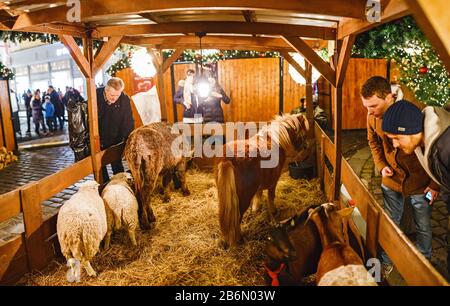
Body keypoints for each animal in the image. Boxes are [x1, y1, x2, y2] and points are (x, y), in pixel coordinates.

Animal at [216, 113, 312, 247]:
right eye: (303, 132)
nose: (306, 146)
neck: (275, 140)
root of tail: (227, 159)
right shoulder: (273, 182)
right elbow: (271, 197)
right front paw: (273, 212)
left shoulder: (259, 185)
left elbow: (258, 195)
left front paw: (256, 209)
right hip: (242, 199)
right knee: (236, 218)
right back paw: (238, 239)